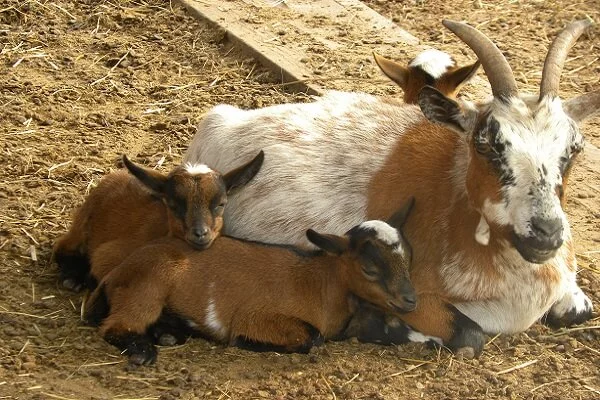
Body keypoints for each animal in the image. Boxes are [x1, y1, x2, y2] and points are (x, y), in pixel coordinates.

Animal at [85, 197, 418, 366]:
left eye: (409, 256)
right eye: (369, 268)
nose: (411, 300)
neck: (321, 283)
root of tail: (116, 274)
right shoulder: (256, 316)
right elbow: (312, 337)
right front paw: (245, 342)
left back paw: (167, 333)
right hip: (149, 286)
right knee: (116, 326)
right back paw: (144, 351)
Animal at [185, 20, 596, 354]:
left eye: (574, 148)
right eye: (486, 144)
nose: (545, 233)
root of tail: (222, 121)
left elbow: (581, 309)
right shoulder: (413, 291)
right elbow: (469, 333)